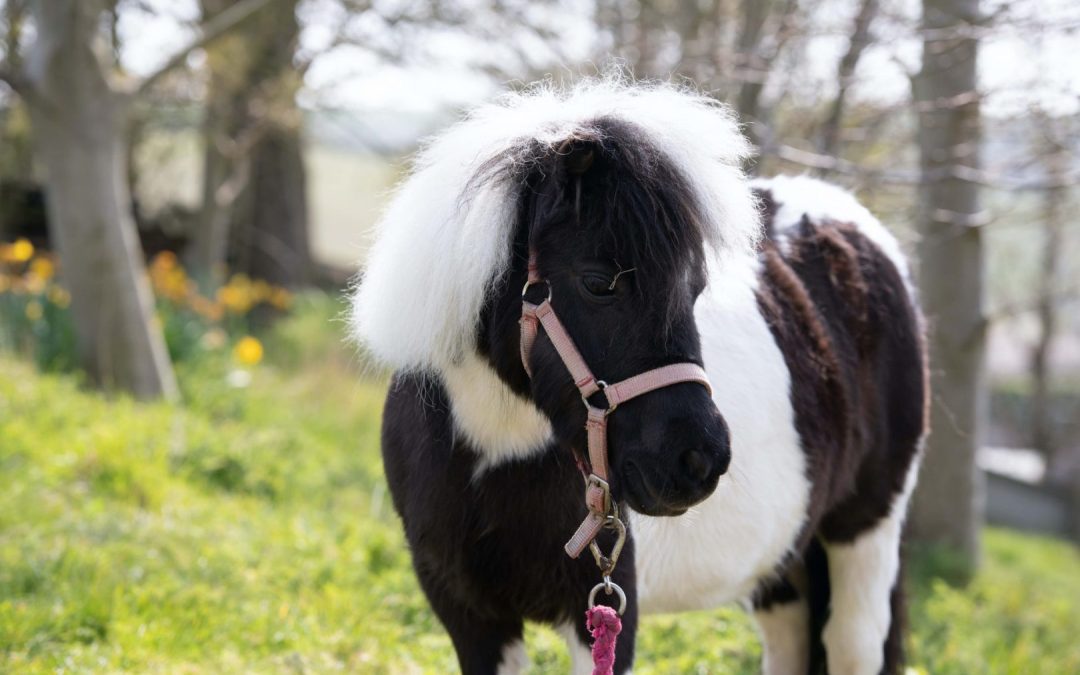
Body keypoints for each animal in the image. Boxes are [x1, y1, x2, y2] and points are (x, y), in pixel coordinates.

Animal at [349, 80, 924, 673]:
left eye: (695, 287)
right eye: (599, 282)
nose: (700, 460)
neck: (494, 452)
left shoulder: (606, 612)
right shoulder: (474, 620)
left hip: (865, 537)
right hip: (781, 566)